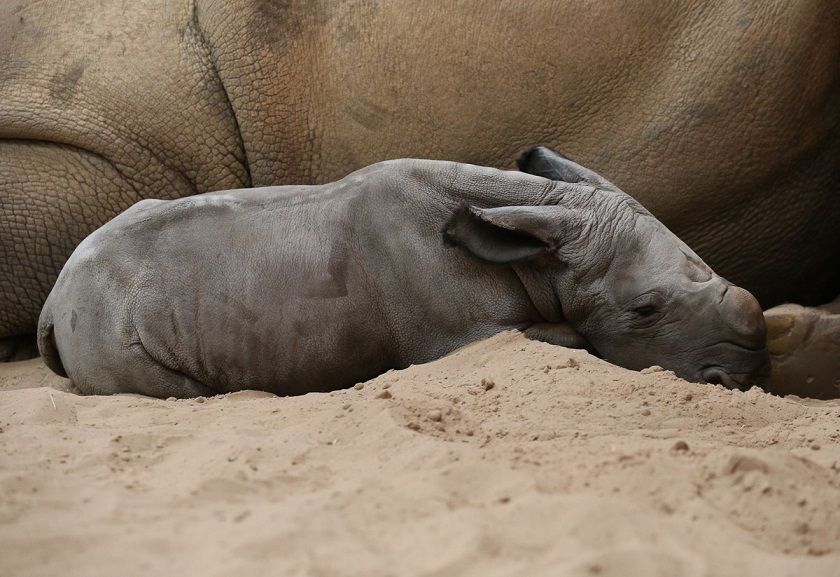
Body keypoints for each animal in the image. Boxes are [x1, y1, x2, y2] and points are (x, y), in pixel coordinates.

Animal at [41, 146, 768, 396]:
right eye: (644, 311)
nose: (750, 375)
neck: (537, 257)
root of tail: (53, 297)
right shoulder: (452, 337)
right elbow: (572, 337)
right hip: (103, 320)